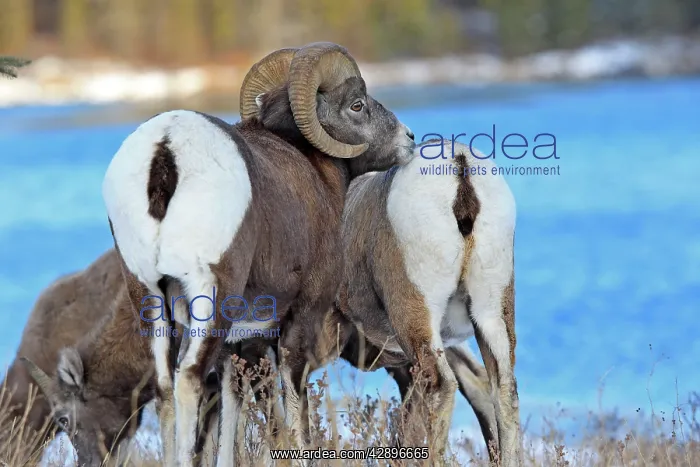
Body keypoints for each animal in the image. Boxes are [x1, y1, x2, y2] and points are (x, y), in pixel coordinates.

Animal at [101, 41, 416, 465]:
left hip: (148, 296)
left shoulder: (241, 342)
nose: (409, 138)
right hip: (210, 296)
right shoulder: (301, 316)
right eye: (357, 104)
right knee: (189, 378)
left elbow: (232, 411)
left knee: (166, 388)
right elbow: (294, 411)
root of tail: (165, 151)